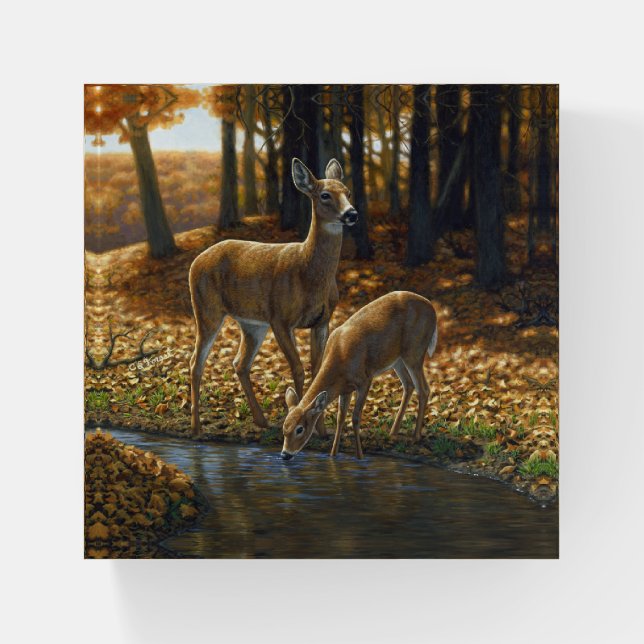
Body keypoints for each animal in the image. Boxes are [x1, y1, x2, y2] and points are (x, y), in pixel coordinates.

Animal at [189, 158, 357, 437]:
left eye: (348, 192)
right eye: (324, 195)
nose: (351, 214)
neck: (309, 274)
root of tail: (195, 261)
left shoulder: (322, 320)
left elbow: (317, 371)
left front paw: (322, 431)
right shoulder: (281, 319)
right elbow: (298, 369)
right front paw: (306, 427)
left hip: (252, 323)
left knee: (240, 363)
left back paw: (261, 420)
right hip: (206, 309)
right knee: (195, 362)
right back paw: (196, 429)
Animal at [280, 291, 438, 460]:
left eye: (300, 429)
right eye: (284, 428)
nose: (285, 454)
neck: (340, 359)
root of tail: (432, 309)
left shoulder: (364, 380)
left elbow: (355, 418)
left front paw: (360, 456)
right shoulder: (345, 388)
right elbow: (340, 418)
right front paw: (333, 455)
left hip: (414, 351)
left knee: (424, 389)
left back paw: (415, 436)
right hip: (397, 359)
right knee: (408, 385)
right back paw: (393, 432)